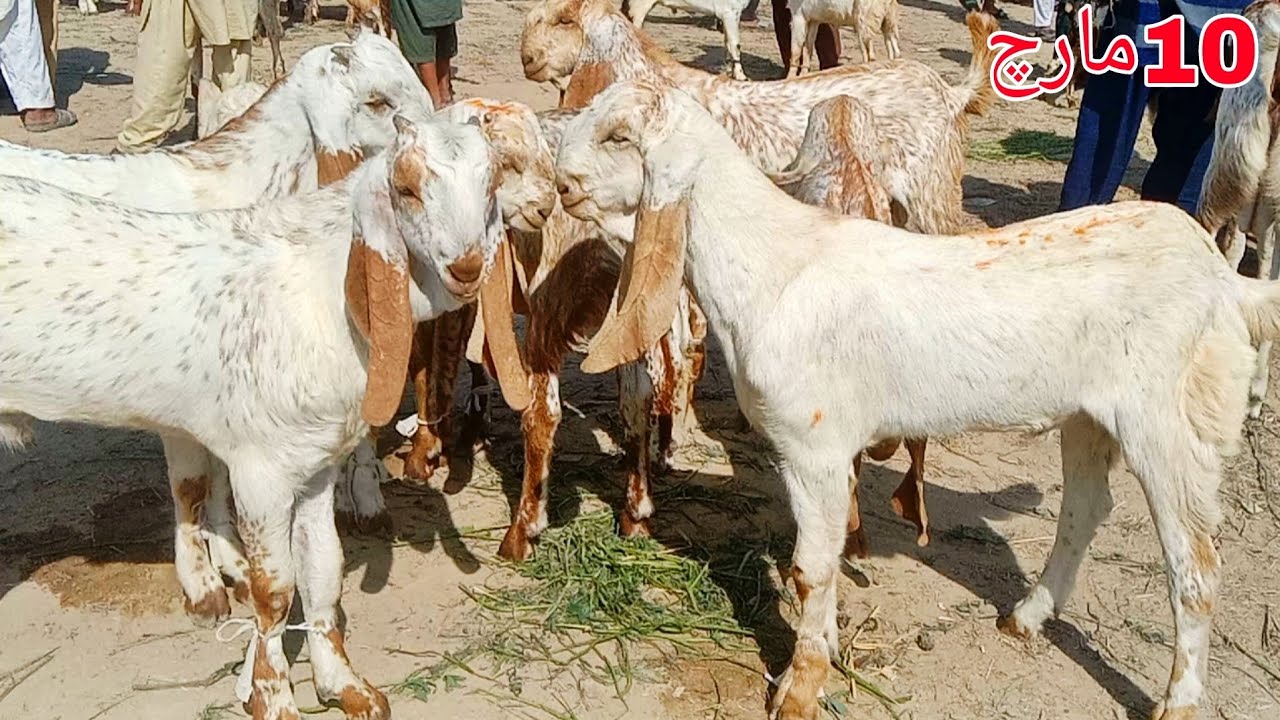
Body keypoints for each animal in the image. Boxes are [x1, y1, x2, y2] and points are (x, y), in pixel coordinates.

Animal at [0, 115, 501, 720]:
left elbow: (324, 569)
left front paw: (343, 684)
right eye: (406, 188)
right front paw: (273, 696)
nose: (467, 267)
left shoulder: (314, 466)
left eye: (492, 181)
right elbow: (275, 589)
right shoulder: (261, 470)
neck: (317, 292)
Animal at [556, 78, 1277, 720]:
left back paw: (1178, 702)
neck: (774, 267)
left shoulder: (814, 447)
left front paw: (798, 691)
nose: (560, 182)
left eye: (620, 136)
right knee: (1086, 506)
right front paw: (828, 652)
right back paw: (1027, 616)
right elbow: (827, 561)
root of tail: (1223, 280)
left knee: (1196, 565)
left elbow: (809, 568)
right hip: (1089, 413)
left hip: (1171, 422)